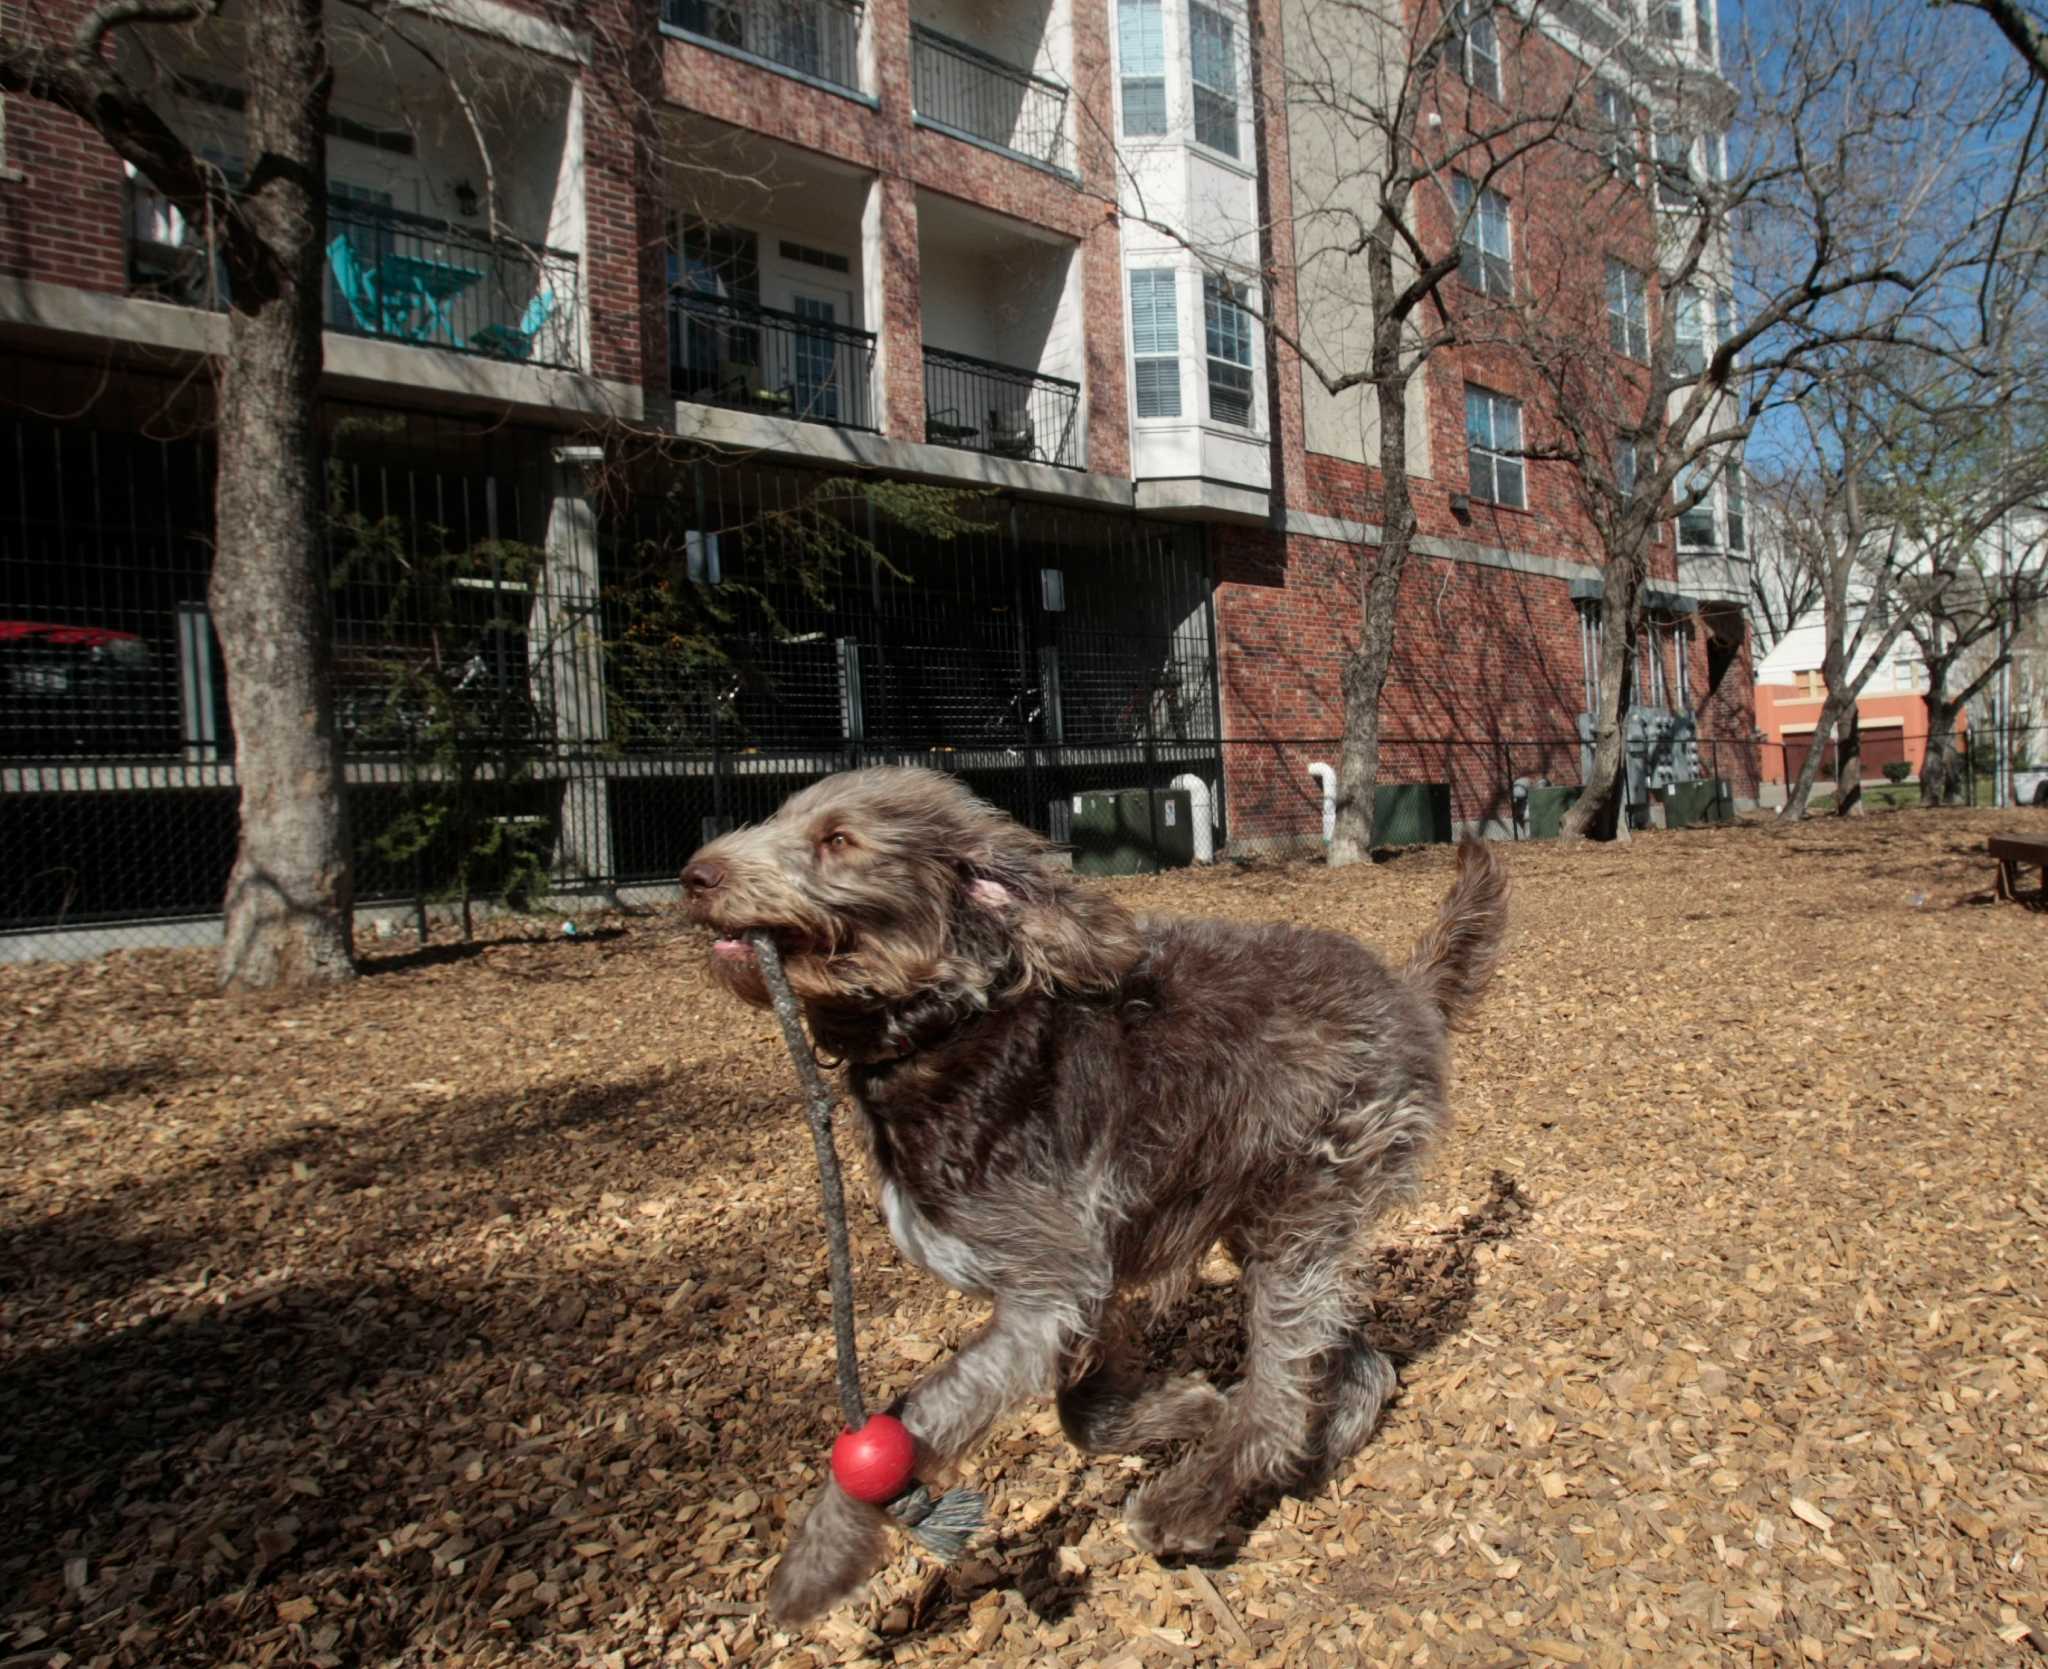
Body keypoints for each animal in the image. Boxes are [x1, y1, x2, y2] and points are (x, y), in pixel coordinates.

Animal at [688, 769, 1507, 1621]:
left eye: (838, 839)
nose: (694, 877)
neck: (953, 1031)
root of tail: (1407, 992)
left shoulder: (1049, 1288)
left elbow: (918, 1418)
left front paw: (817, 1558)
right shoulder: (1090, 1281)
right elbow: (1081, 1414)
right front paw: (1185, 1407)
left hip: (1304, 1206)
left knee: (1282, 1398)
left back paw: (1188, 1504)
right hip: (1273, 1218)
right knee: (1353, 1366)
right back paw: (1305, 1456)